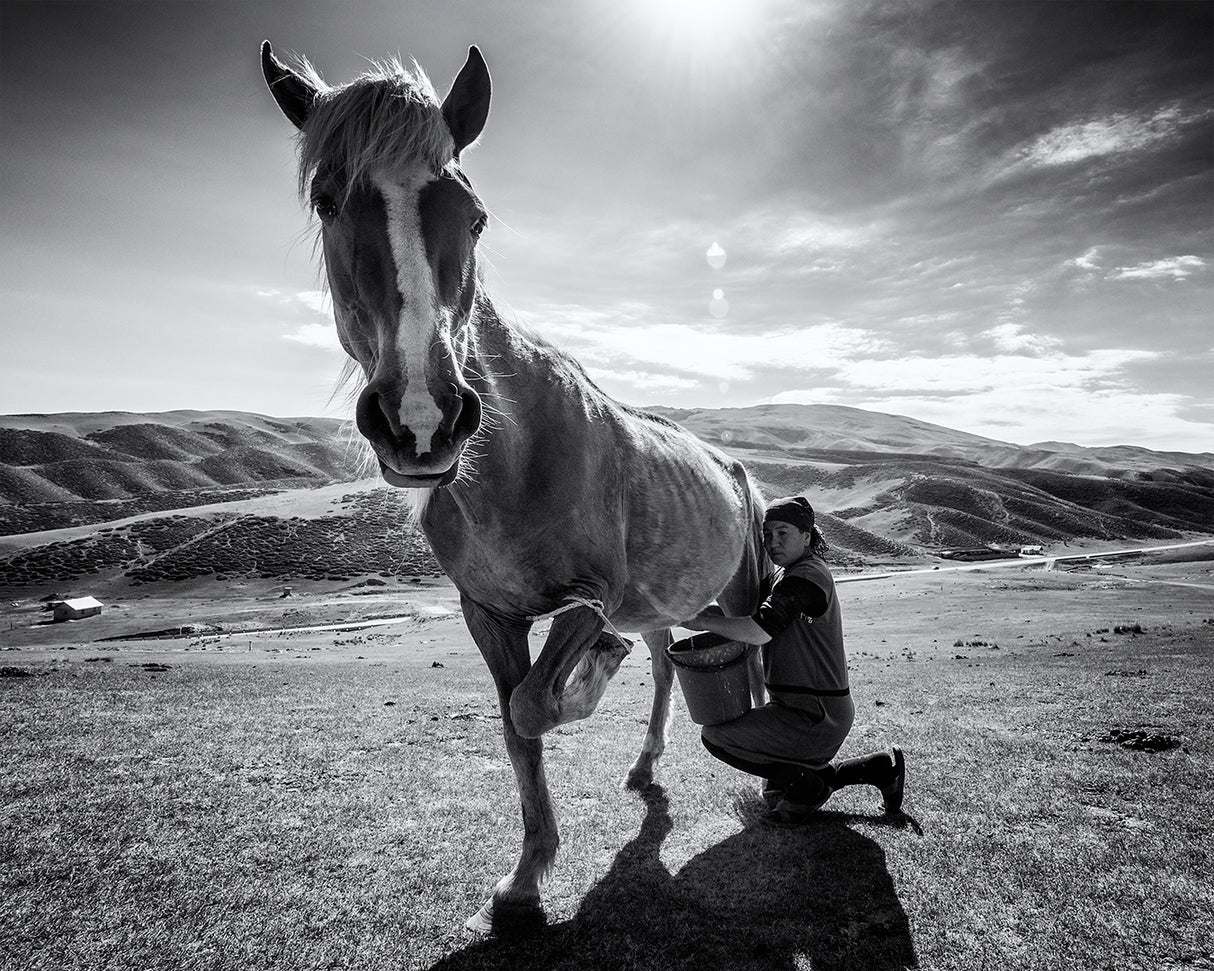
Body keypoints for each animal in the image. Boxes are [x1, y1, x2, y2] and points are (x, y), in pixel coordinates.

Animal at [261, 41, 770, 933]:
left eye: (475, 215)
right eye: (327, 200)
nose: (422, 417)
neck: (513, 461)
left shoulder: (591, 596)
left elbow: (538, 703)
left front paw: (590, 677)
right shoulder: (487, 612)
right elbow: (514, 725)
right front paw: (524, 881)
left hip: (738, 589)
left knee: (760, 652)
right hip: (664, 607)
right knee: (667, 665)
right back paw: (645, 764)